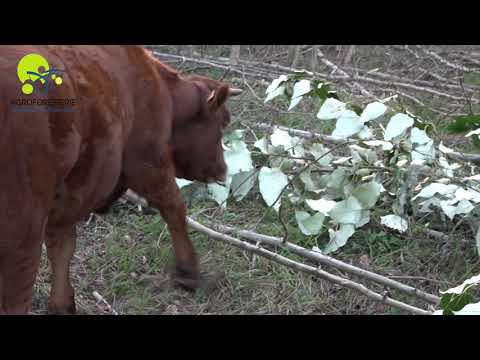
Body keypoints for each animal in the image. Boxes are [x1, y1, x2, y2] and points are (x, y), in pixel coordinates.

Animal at [0, 45, 240, 316]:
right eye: (223, 122)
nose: (223, 170)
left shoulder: (67, 195)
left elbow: (62, 246)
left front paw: (62, 304)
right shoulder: (148, 163)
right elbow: (175, 208)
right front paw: (188, 272)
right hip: (23, 225)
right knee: (17, 292)